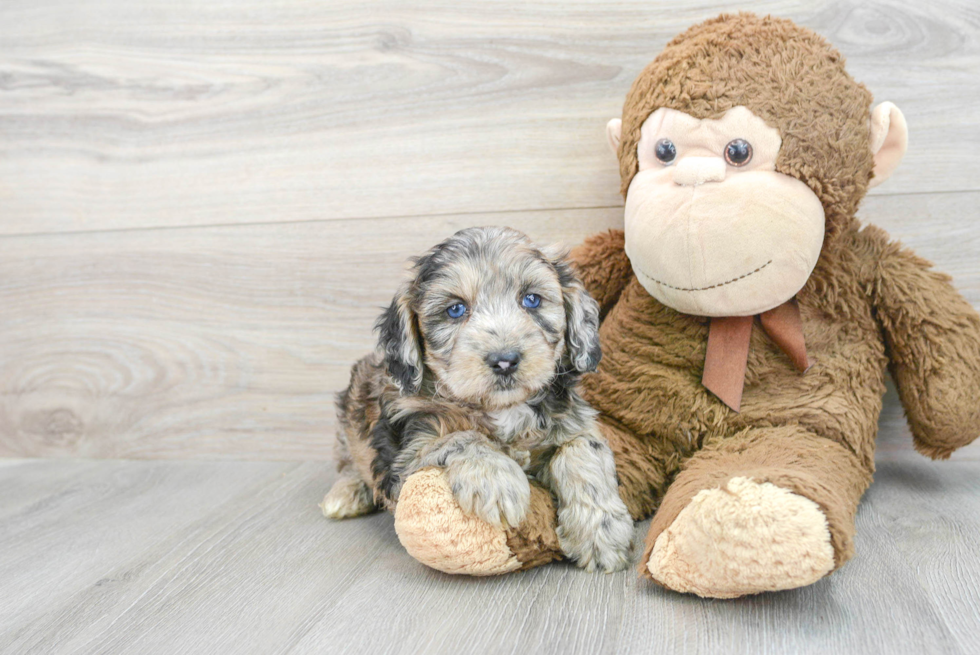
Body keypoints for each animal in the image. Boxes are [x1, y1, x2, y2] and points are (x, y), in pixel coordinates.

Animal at [318, 227, 632, 576]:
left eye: (532, 300)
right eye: (455, 309)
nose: (505, 360)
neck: (501, 409)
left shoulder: (573, 423)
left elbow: (583, 451)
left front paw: (600, 531)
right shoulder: (404, 458)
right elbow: (461, 436)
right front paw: (497, 480)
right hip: (350, 414)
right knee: (348, 463)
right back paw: (345, 495)